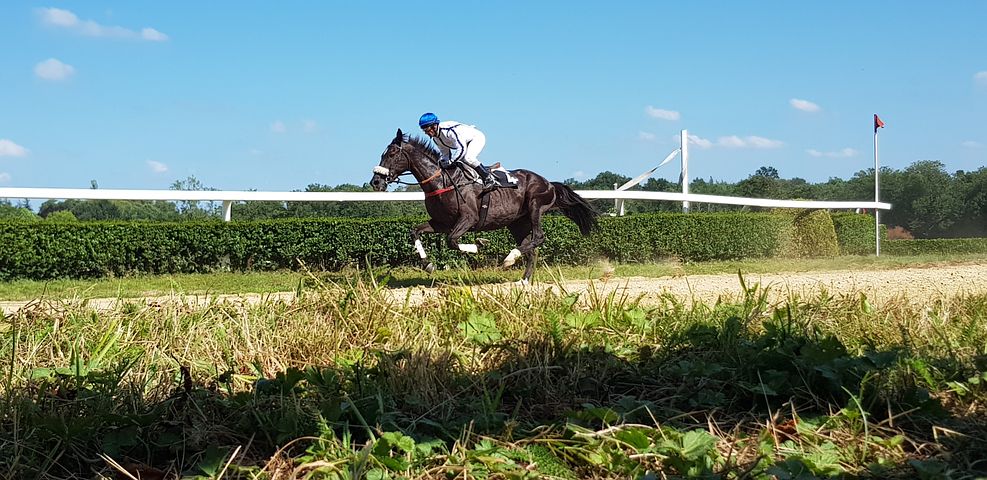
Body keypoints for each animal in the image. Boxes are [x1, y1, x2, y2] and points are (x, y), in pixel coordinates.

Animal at [370, 129, 600, 284]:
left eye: (391, 153)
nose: (376, 182)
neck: (442, 182)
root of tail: (549, 183)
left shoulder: (467, 219)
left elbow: (452, 241)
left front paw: (479, 244)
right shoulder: (441, 223)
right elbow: (415, 231)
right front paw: (428, 264)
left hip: (535, 206)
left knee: (539, 237)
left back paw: (509, 259)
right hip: (517, 222)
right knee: (532, 248)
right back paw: (523, 280)